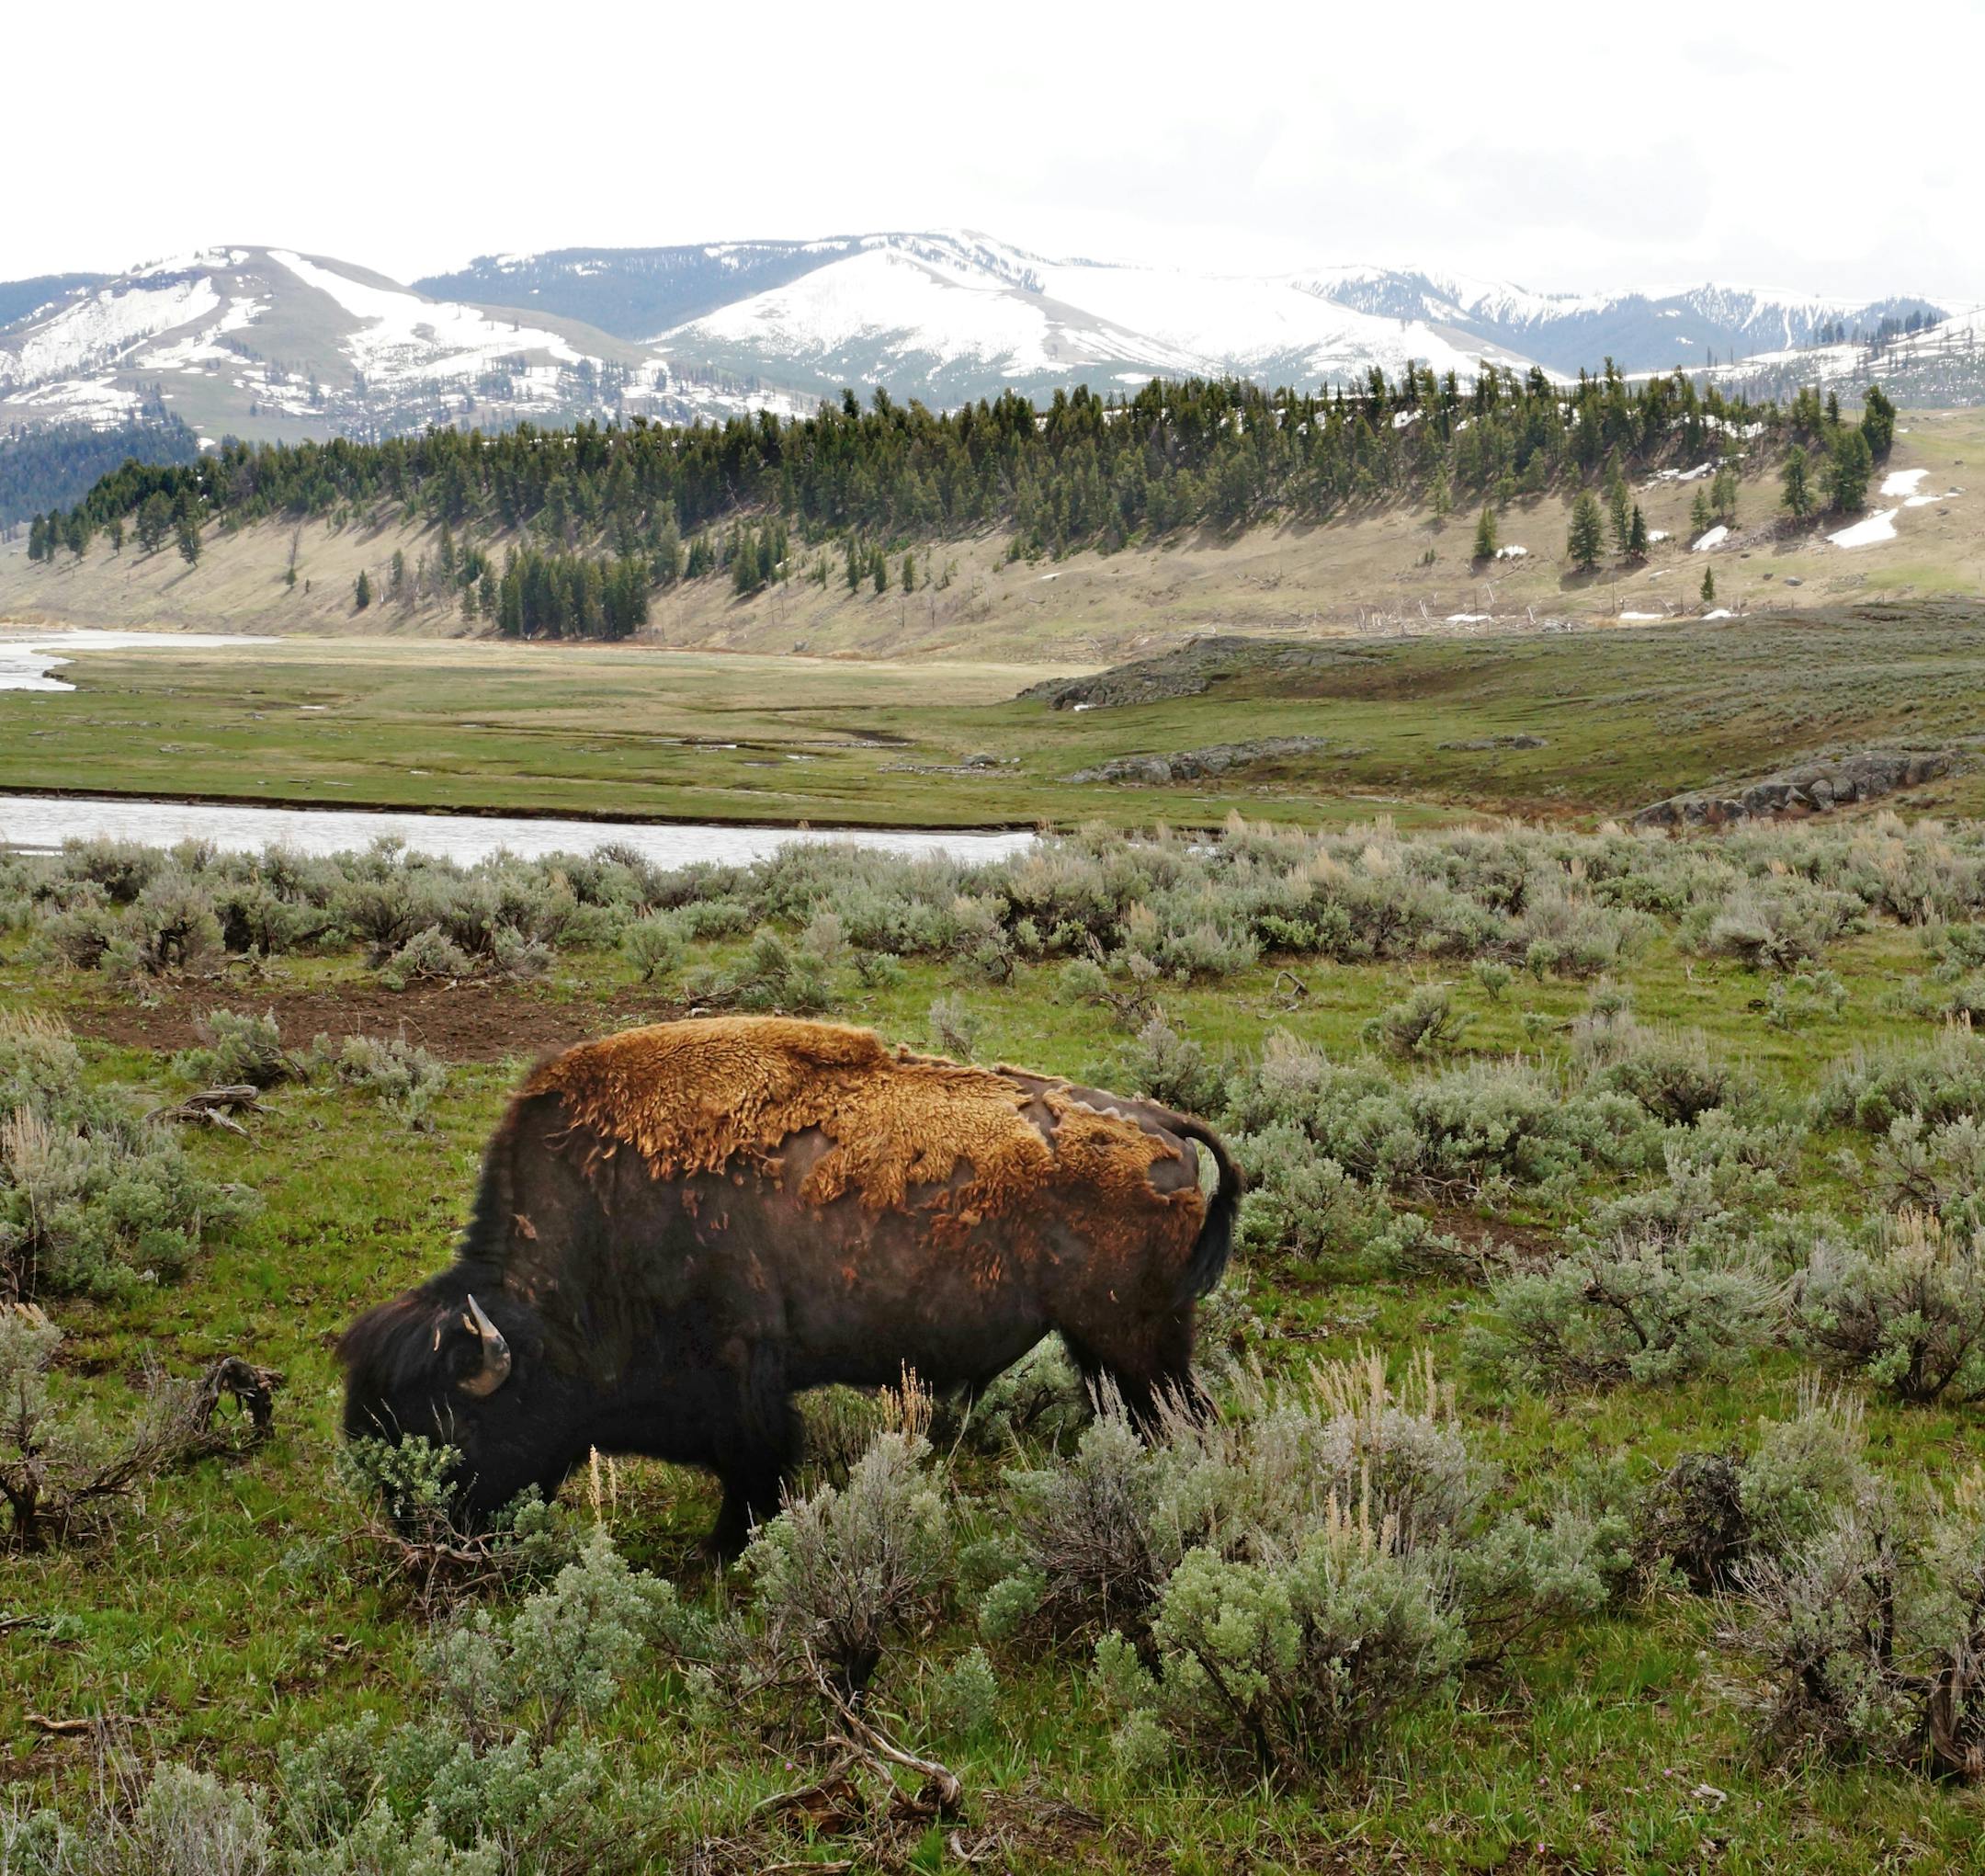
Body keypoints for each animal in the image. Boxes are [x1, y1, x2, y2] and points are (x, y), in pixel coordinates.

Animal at [340, 1015, 1240, 1553]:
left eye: (452, 1424)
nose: (423, 1532)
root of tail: (1161, 1124)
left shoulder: (743, 1376)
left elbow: (757, 1463)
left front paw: (725, 1547)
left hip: (1138, 1340)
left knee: (1182, 1415)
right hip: (1104, 1343)